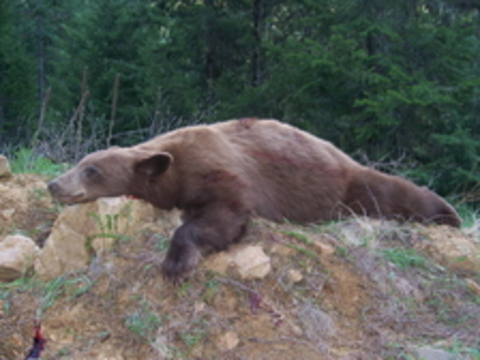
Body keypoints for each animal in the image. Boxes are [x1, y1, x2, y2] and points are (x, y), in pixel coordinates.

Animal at [47, 119, 462, 282]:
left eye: (92, 170)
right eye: (78, 163)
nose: (54, 184)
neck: (172, 164)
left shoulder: (216, 168)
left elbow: (226, 212)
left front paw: (176, 264)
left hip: (347, 183)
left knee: (394, 191)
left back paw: (450, 215)